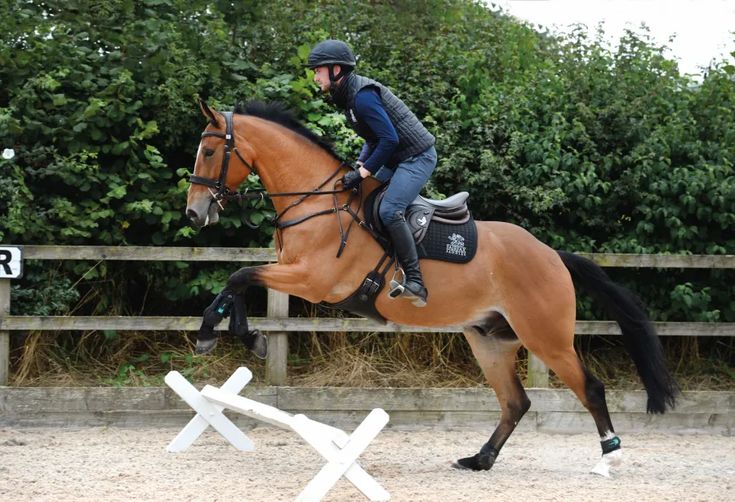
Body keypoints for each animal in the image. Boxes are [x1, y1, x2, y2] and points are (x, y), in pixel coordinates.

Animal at [185, 100, 680, 476]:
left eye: (208, 151)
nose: (194, 213)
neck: (318, 201)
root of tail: (553, 255)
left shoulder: (312, 280)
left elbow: (239, 276)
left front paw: (237, 335)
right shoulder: (293, 272)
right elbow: (237, 281)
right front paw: (225, 333)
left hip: (547, 338)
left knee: (588, 388)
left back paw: (609, 455)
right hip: (489, 340)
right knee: (514, 402)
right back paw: (480, 460)